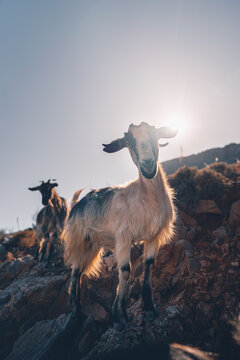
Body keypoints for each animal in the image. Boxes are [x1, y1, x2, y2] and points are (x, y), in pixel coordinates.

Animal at [62, 121, 177, 330]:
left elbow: (148, 265)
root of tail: (77, 204)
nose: (148, 165)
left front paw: (150, 307)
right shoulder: (123, 238)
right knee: (75, 271)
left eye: (155, 136)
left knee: (79, 271)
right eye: (129, 142)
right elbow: (125, 271)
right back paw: (74, 310)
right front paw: (120, 315)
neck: (145, 199)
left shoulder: (153, 237)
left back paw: (79, 310)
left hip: (93, 244)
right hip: (81, 241)